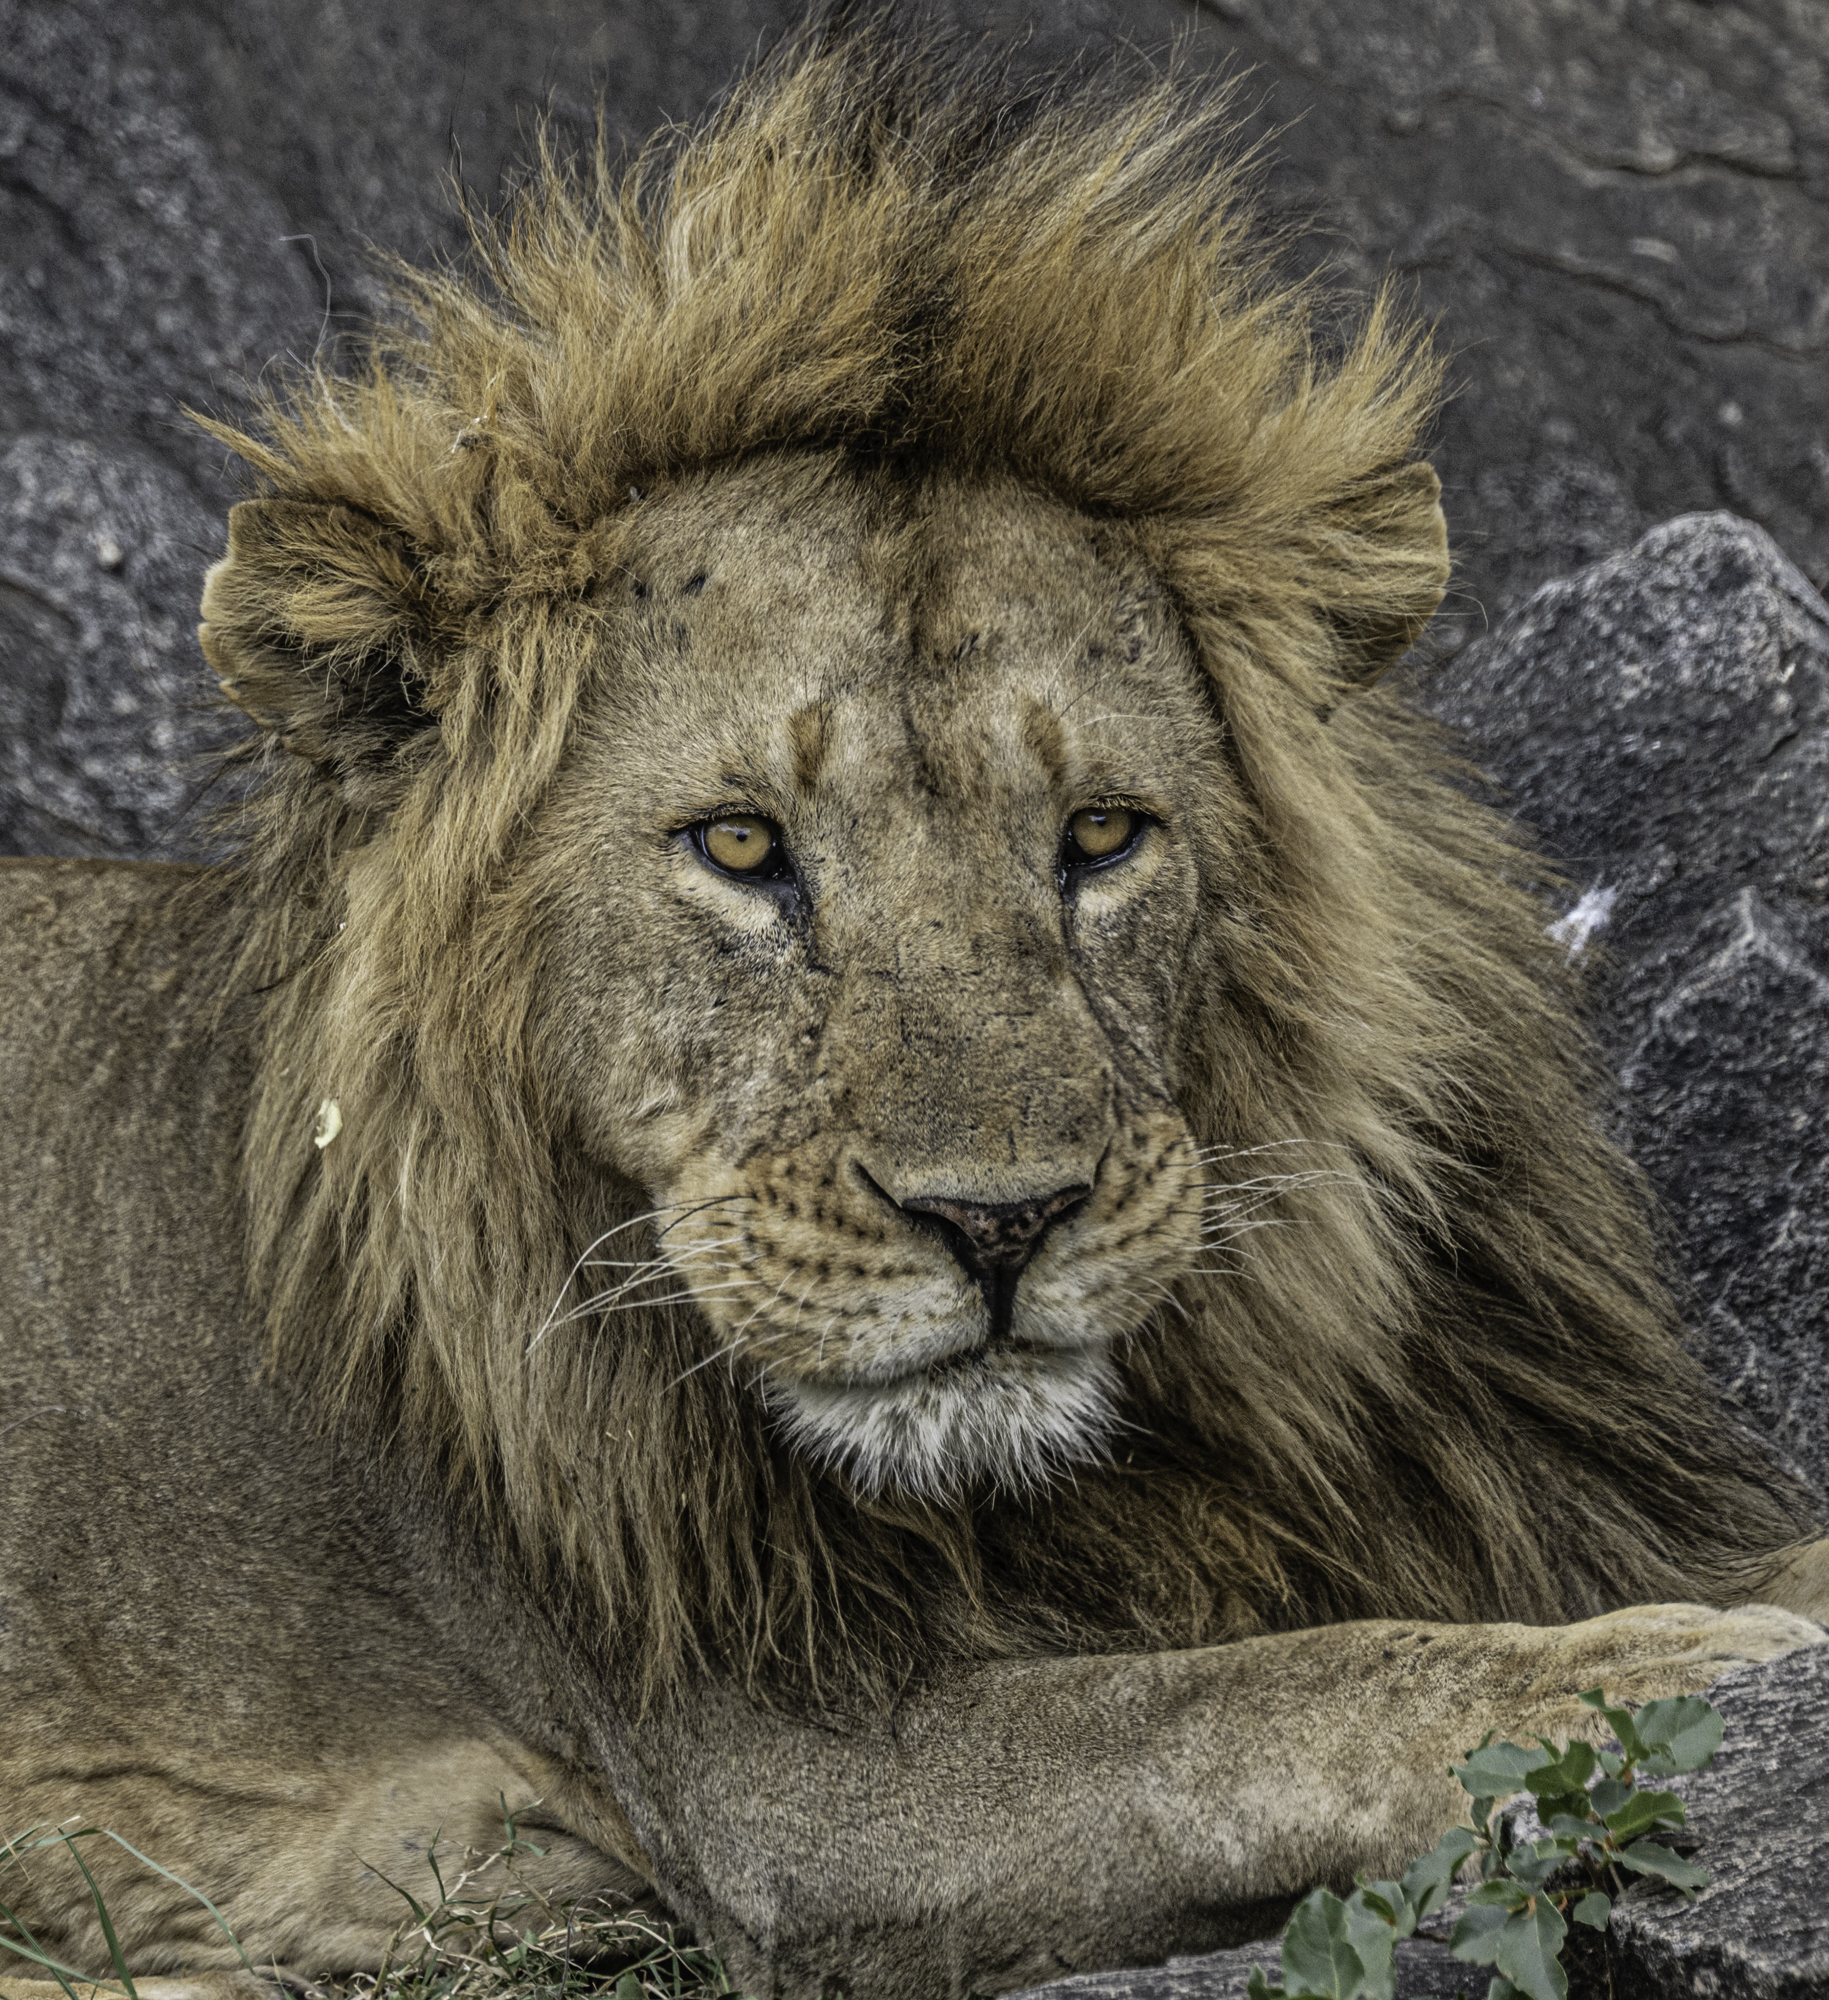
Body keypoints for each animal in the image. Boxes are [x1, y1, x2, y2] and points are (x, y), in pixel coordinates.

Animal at [2, 26, 1825, 2000]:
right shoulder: (774, 1789)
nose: (999, 1225)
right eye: (740, 846)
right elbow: (1259, 1703)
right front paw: (1655, 1671)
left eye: (1098, 836)